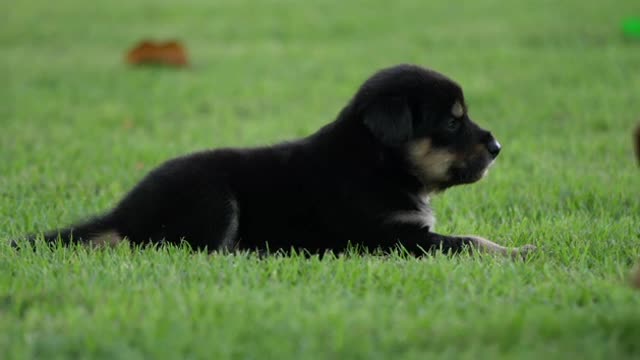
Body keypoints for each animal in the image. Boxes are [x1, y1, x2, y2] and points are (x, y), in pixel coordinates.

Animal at [18, 64, 536, 256]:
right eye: (451, 123)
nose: (497, 148)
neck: (377, 164)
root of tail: (125, 212)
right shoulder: (390, 237)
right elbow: (470, 241)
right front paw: (520, 252)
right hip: (213, 197)